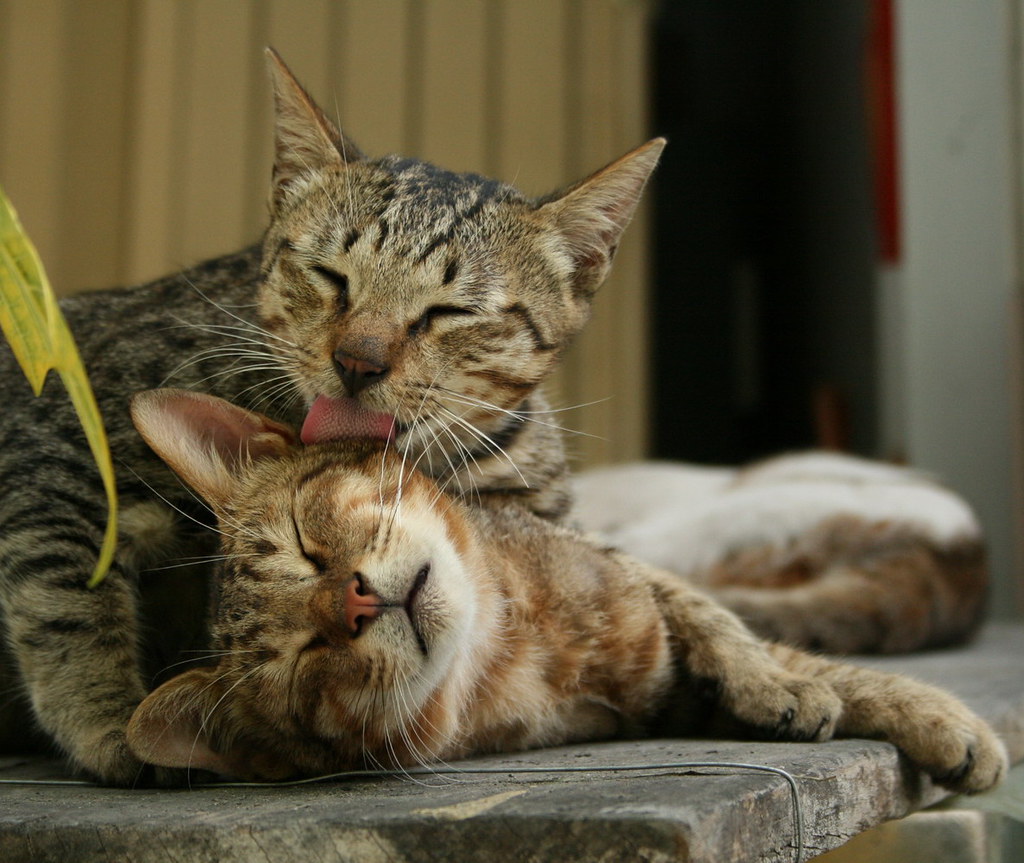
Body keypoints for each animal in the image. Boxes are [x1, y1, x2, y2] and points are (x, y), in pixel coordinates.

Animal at [121, 391, 1007, 798]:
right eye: (307, 662)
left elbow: (744, 634)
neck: (516, 635)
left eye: (308, 541)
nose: (358, 602)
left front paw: (932, 717)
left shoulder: (641, 578)